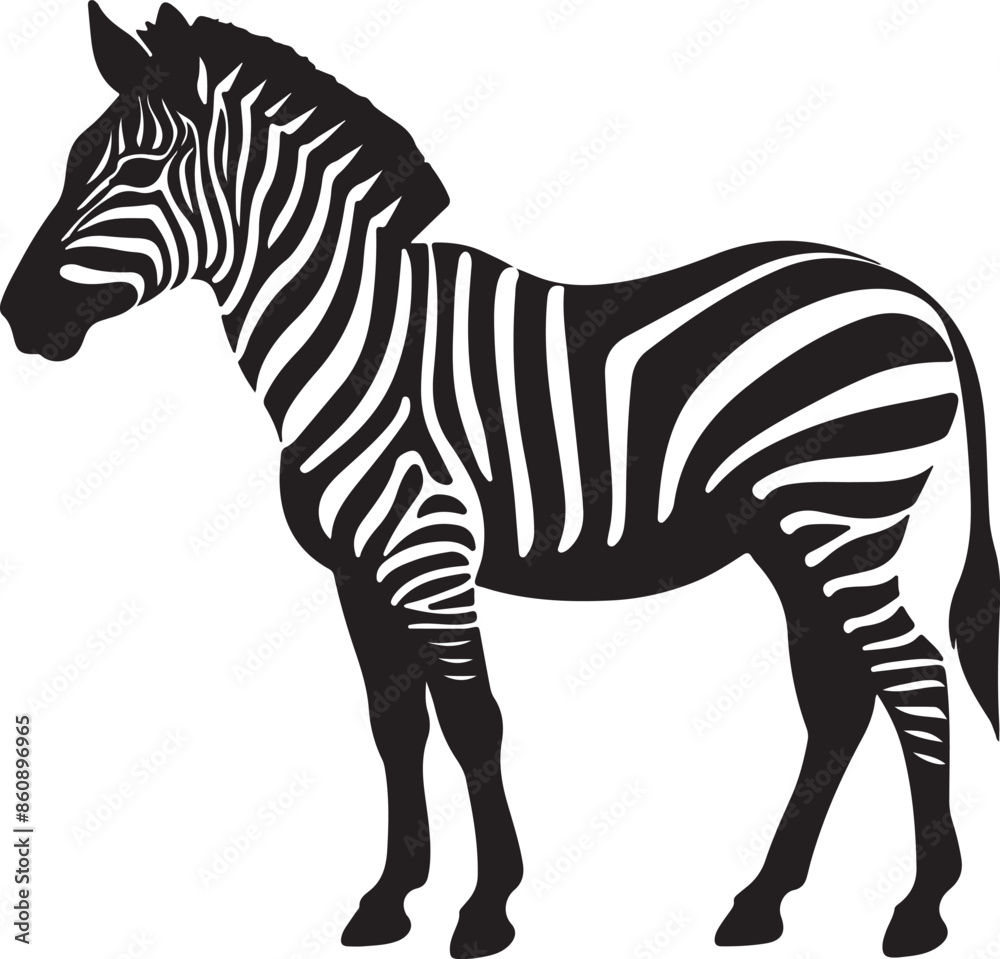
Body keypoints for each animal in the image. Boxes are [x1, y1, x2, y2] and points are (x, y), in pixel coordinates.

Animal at [2, 4, 997, 956]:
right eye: (73, 159)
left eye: (141, 166)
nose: (19, 315)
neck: (356, 342)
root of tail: (910, 289)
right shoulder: (357, 573)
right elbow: (396, 728)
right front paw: (387, 900)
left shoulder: (429, 555)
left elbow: (473, 721)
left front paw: (485, 911)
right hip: (790, 536)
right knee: (839, 699)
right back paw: (761, 903)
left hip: (842, 515)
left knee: (915, 676)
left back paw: (919, 911)